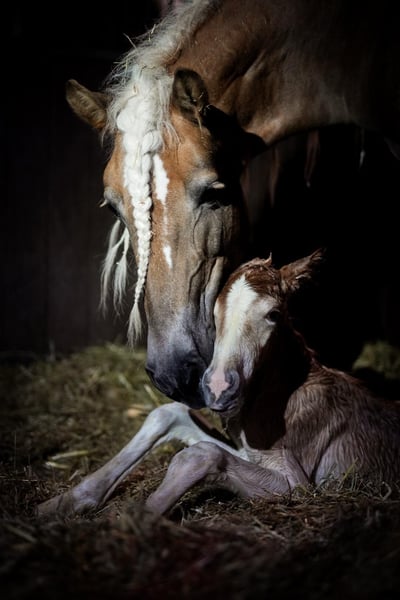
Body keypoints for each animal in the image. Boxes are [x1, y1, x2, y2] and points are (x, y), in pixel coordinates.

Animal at [38, 249, 400, 517]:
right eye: (214, 313)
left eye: (274, 314)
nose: (217, 388)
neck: (280, 398)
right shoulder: (247, 451)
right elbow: (168, 414)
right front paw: (61, 504)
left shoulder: (300, 487)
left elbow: (200, 454)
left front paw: (132, 522)